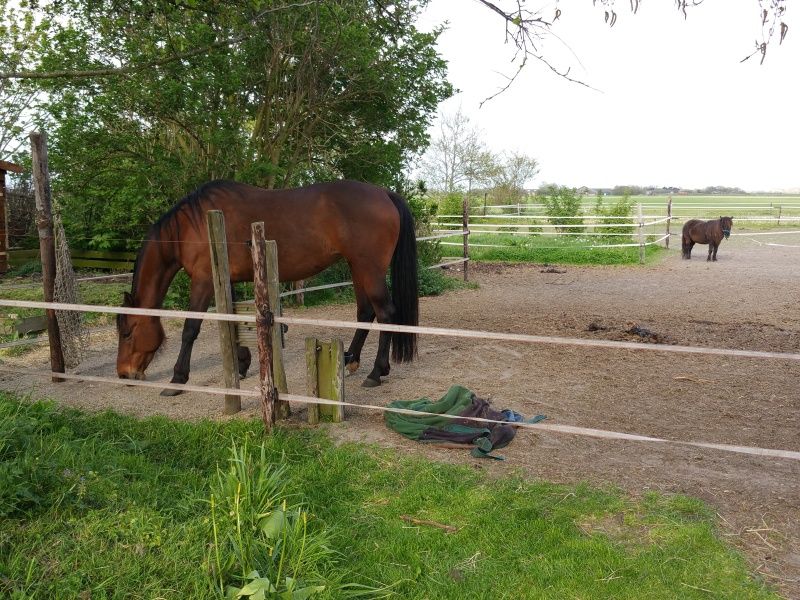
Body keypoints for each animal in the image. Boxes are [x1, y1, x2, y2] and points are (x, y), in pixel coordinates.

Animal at [116, 179, 419, 394]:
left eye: (128, 332)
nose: (124, 374)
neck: (193, 225)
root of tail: (384, 193)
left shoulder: (202, 281)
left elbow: (190, 329)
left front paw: (177, 378)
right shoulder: (225, 280)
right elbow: (231, 320)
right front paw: (241, 364)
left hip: (369, 269)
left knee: (386, 313)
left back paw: (376, 372)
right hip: (358, 267)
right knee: (365, 312)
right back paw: (349, 359)